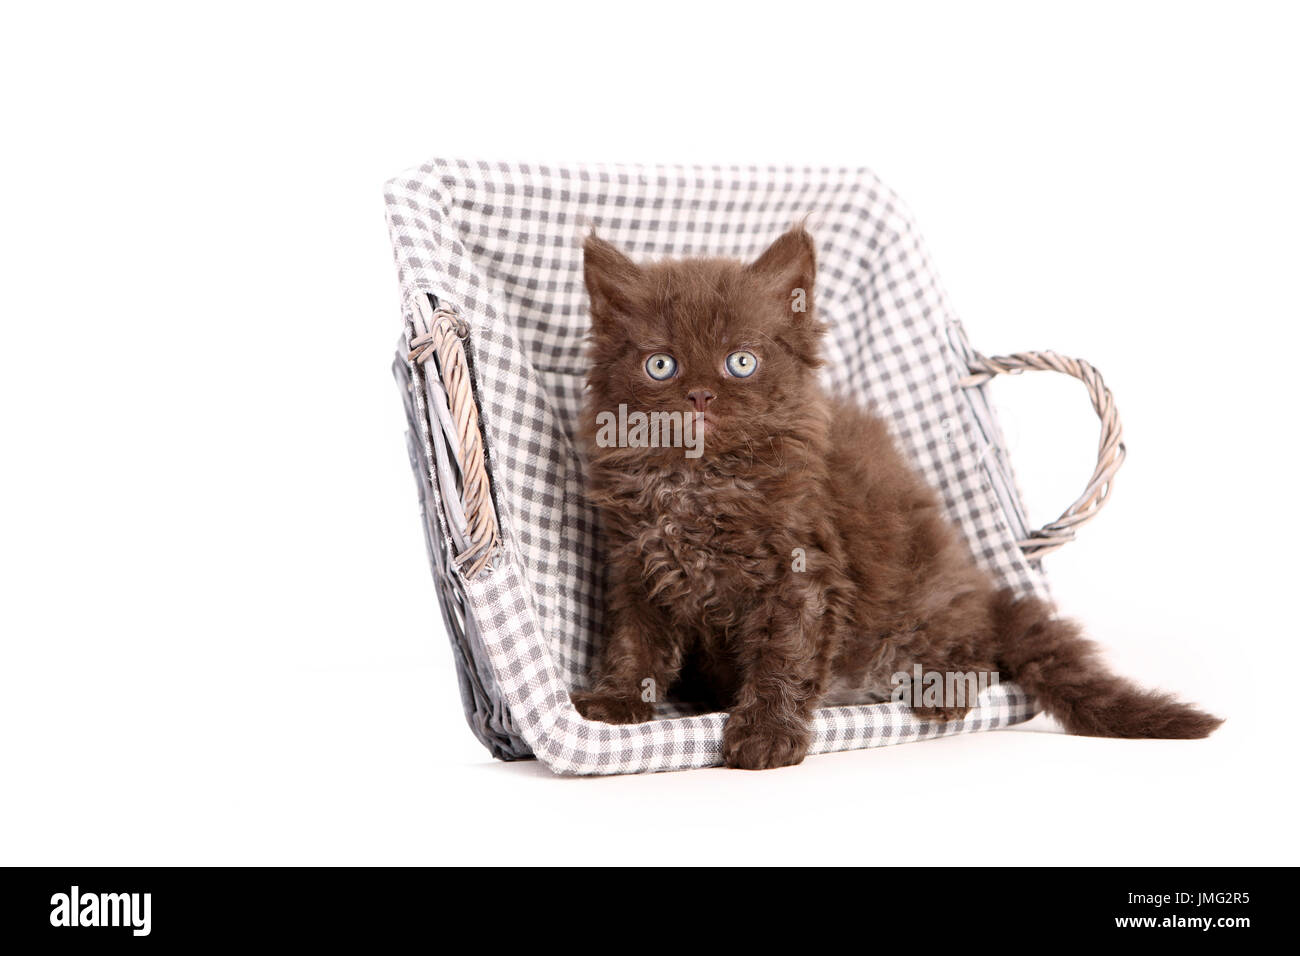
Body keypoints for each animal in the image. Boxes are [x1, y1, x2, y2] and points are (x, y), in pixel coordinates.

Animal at [569, 223, 1216, 770]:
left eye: (742, 361)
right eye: (661, 365)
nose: (701, 395)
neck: (700, 484)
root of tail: (982, 587)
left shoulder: (803, 574)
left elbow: (784, 658)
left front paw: (765, 736)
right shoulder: (639, 572)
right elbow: (635, 646)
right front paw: (615, 702)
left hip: (930, 599)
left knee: (983, 648)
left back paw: (941, 687)